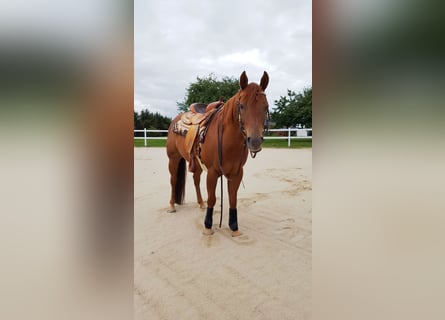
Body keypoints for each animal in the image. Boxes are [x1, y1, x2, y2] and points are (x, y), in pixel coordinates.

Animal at [166, 71, 268, 236]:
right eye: (242, 106)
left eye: (266, 107)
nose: (255, 141)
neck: (227, 139)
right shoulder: (213, 172)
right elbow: (212, 198)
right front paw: (208, 226)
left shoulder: (237, 173)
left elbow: (232, 198)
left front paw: (234, 227)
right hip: (173, 159)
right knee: (174, 180)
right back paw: (171, 206)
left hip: (196, 163)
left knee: (195, 180)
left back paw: (201, 204)